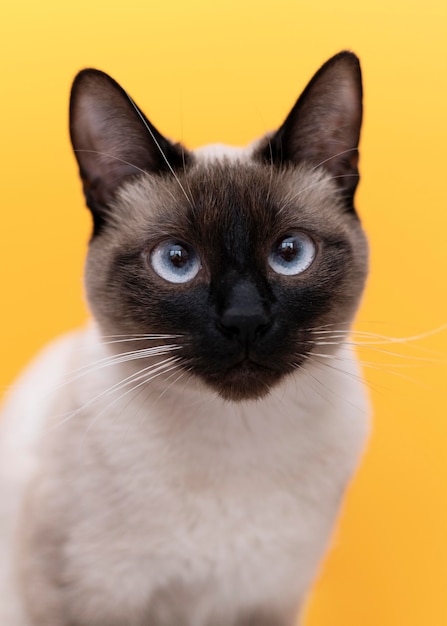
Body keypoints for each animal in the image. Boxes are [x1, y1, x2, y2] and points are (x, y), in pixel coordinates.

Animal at [0, 51, 372, 620]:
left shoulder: (270, 602)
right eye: (176, 261)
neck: (238, 439)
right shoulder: (86, 600)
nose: (244, 320)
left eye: (290, 254)